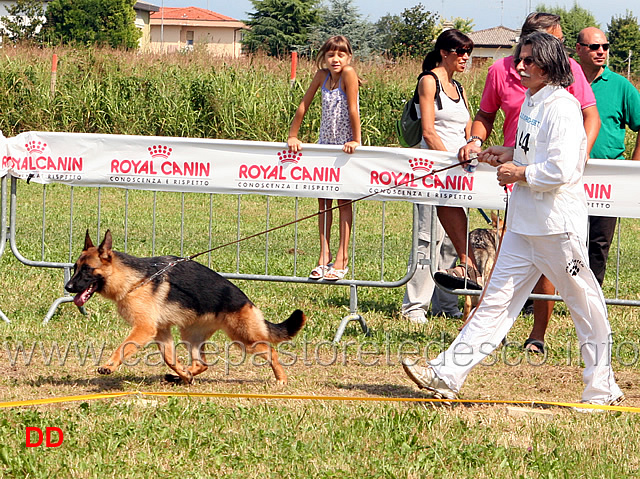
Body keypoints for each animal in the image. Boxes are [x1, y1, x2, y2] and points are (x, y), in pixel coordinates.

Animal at [66, 231, 306, 384]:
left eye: (87, 270)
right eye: (75, 268)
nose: (67, 287)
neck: (135, 279)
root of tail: (247, 301)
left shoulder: (143, 328)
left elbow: (123, 347)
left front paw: (109, 365)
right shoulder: (161, 332)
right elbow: (170, 359)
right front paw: (182, 373)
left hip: (244, 338)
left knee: (272, 351)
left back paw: (281, 379)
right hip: (190, 335)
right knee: (202, 364)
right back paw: (184, 375)